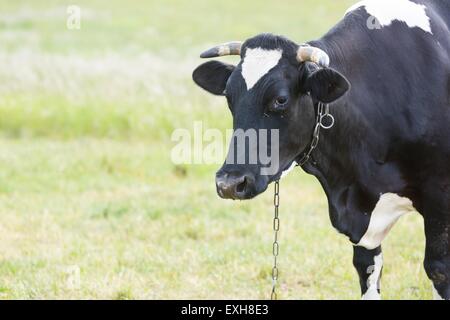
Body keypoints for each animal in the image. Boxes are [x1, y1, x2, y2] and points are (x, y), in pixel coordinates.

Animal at [192, 0, 450, 300]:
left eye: (280, 99)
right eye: (229, 97)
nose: (230, 183)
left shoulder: (440, 200)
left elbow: (438, 269)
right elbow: (367, 268)